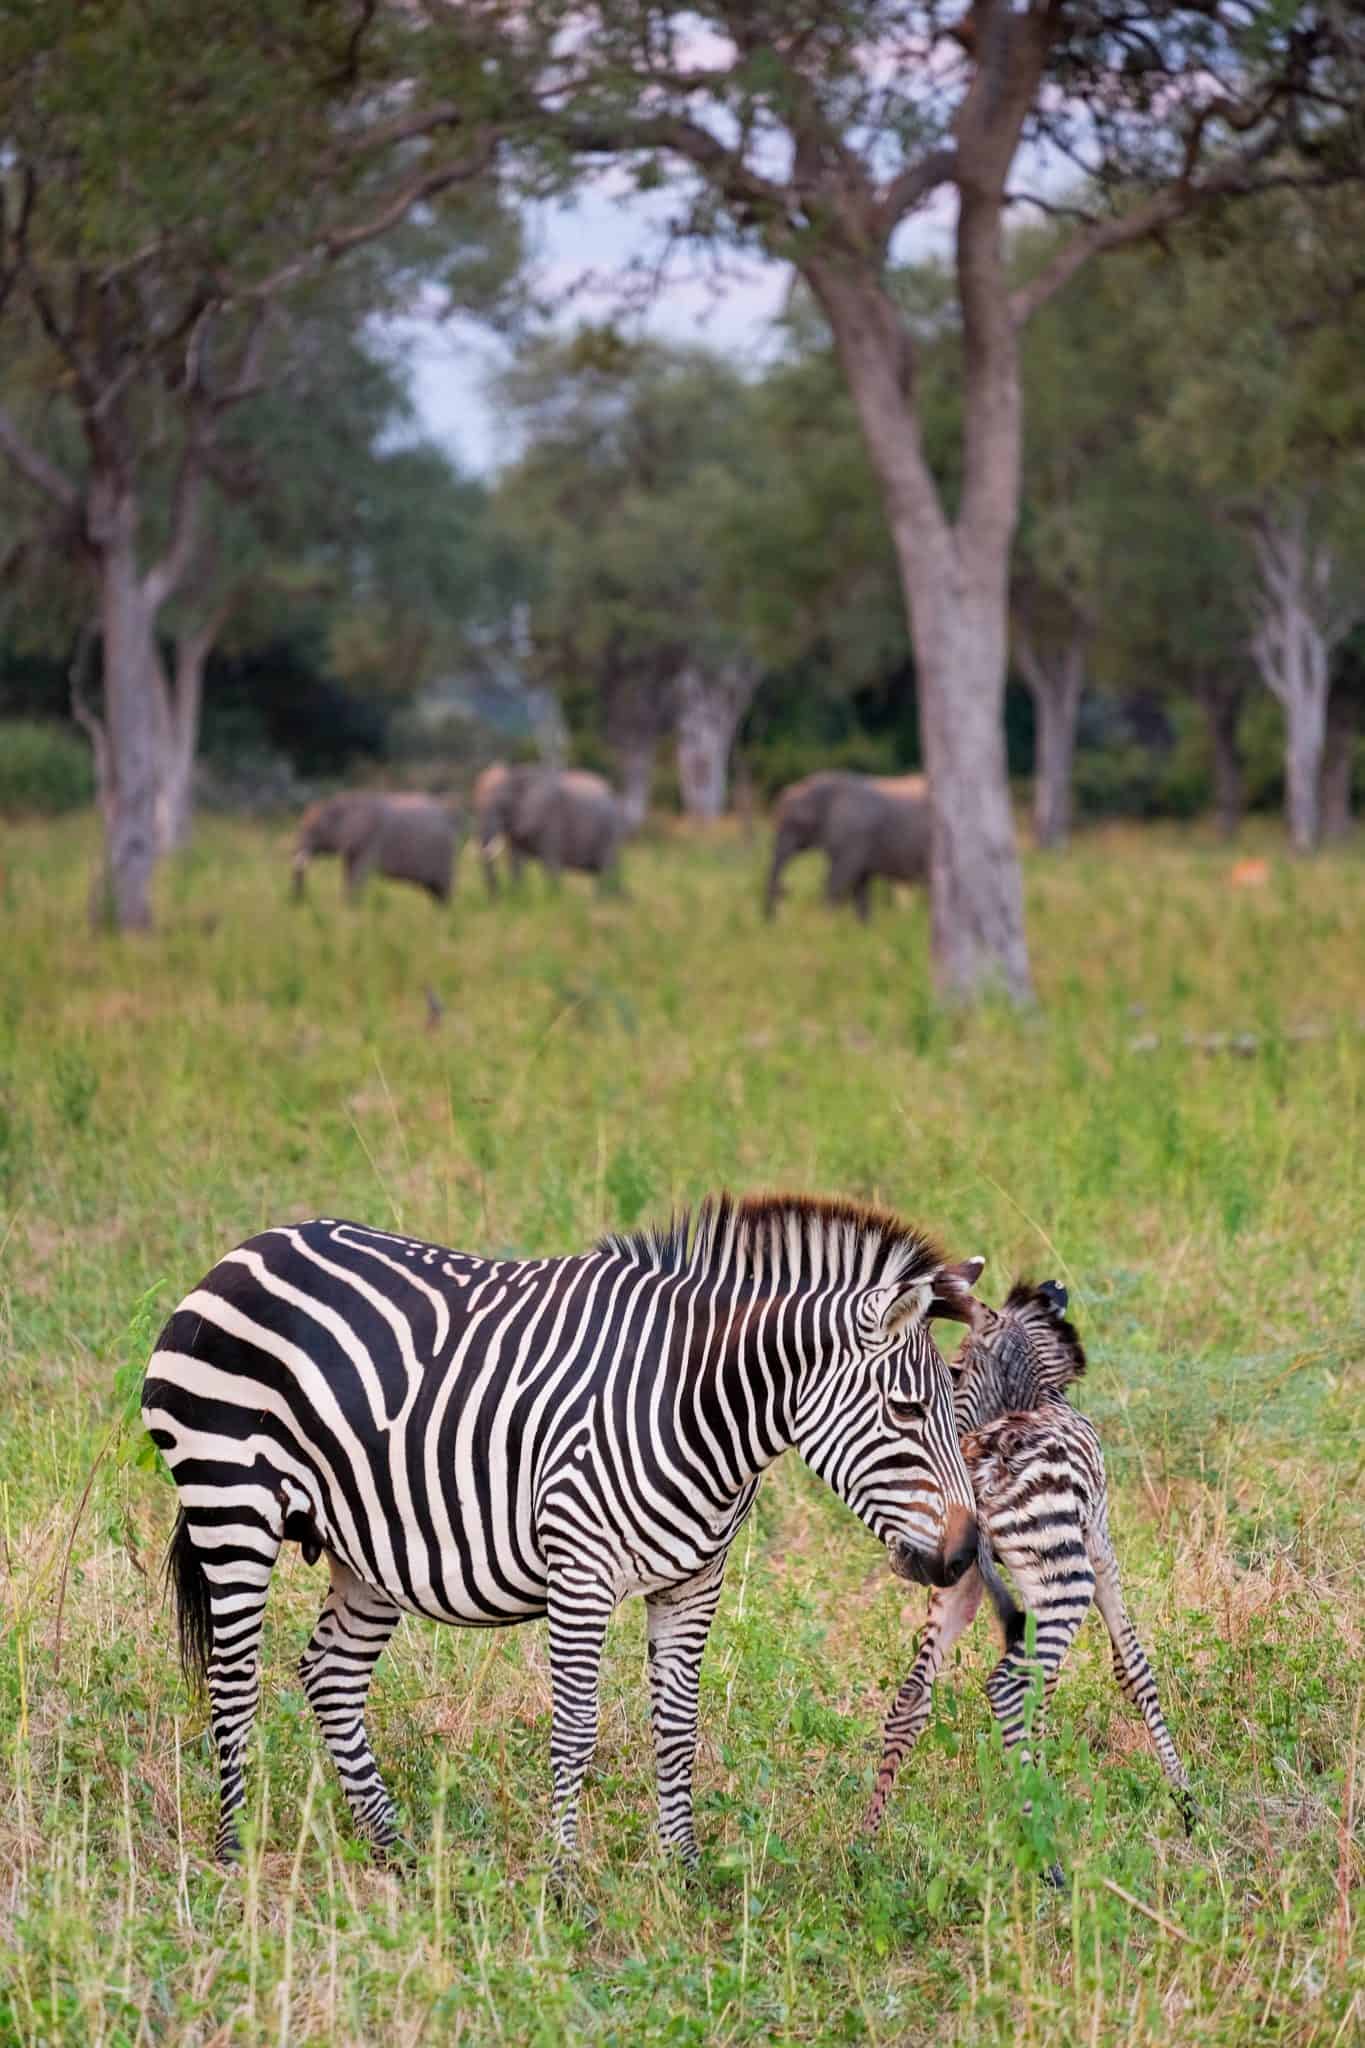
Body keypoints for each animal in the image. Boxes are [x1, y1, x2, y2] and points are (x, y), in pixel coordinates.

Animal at [147, 1187, 982, 1875]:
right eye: (907, 1411)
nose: (966, 1554)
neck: (695, 1403)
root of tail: (250, 1247)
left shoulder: (694, 1582)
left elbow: (677, 1725)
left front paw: (681, 1870)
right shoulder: (580, 1570)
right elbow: (576, 1728)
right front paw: (564, 1879)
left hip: (366, 1545)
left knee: (330, 1675)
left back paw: (391, 1848)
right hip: (232, 1500)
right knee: (233, 1678)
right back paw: (231, 1853)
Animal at [290, 790, 462, 905]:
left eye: (315, 830)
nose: (299, 902)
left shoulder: (369, 840)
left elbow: (358, 875)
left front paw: (352, 908)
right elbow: (348, 873)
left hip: (444, 854)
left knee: (443, 889)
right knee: (434, 891)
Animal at [474, 761, 626, 888]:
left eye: (503, 805)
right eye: (475, 806)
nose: (495, 900)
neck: (517, 774)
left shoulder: (551, 817)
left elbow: (550, 862)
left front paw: (553, 897)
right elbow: (515, 860)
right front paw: (516, 895)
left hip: (610, 828)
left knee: (606, 869)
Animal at [765, 770, 933, 925]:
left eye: (796, 823)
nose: (785, 890)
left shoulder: (852, 839)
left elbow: (837, 880)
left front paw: (826, 926)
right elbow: (860, 886)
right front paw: (863, 929)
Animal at [863, 1277, 1195, 1843]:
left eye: (952, 1372)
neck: (1036, 1399)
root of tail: (984, 1471)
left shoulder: (985, 1579)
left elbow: (1053, 1683)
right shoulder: (1100, 1541)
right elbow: (1134, 1668)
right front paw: (1187, 1803)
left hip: (963, 1581)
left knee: (913, 1696)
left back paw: (867, 1838)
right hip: (1066, 1576)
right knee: (1008, 1685)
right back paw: (1041, 1829)